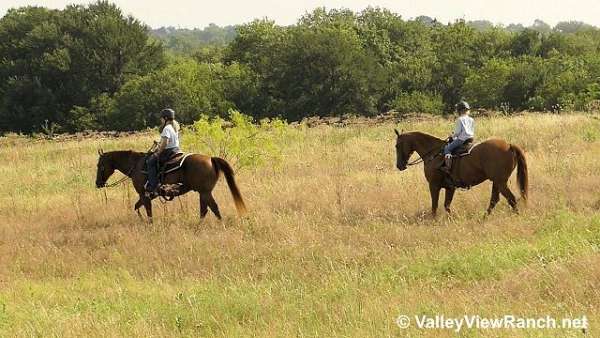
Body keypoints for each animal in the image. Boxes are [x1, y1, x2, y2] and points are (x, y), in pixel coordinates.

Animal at [95, 151, 245, 222]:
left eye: (100, 166)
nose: (98, 183)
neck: (136, 165)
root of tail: (211, 159)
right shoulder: (147, 195)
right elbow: (137, 207)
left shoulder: (144, 194)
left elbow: (148, 211)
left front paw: (150, 224)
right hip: (203, 193)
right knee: (205, 210)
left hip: (205, 192)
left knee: (213, 208)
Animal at [394, 131, 528, 215]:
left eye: (397, 145)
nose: (399, 166)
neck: (434, 154)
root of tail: (509, 145)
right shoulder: (450, 188)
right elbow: (446, 205)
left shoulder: (434, 185)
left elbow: (435, 205)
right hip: (497, 182)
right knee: (494, 200)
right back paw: (484, 218)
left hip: (500, 182)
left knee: (511, 199)